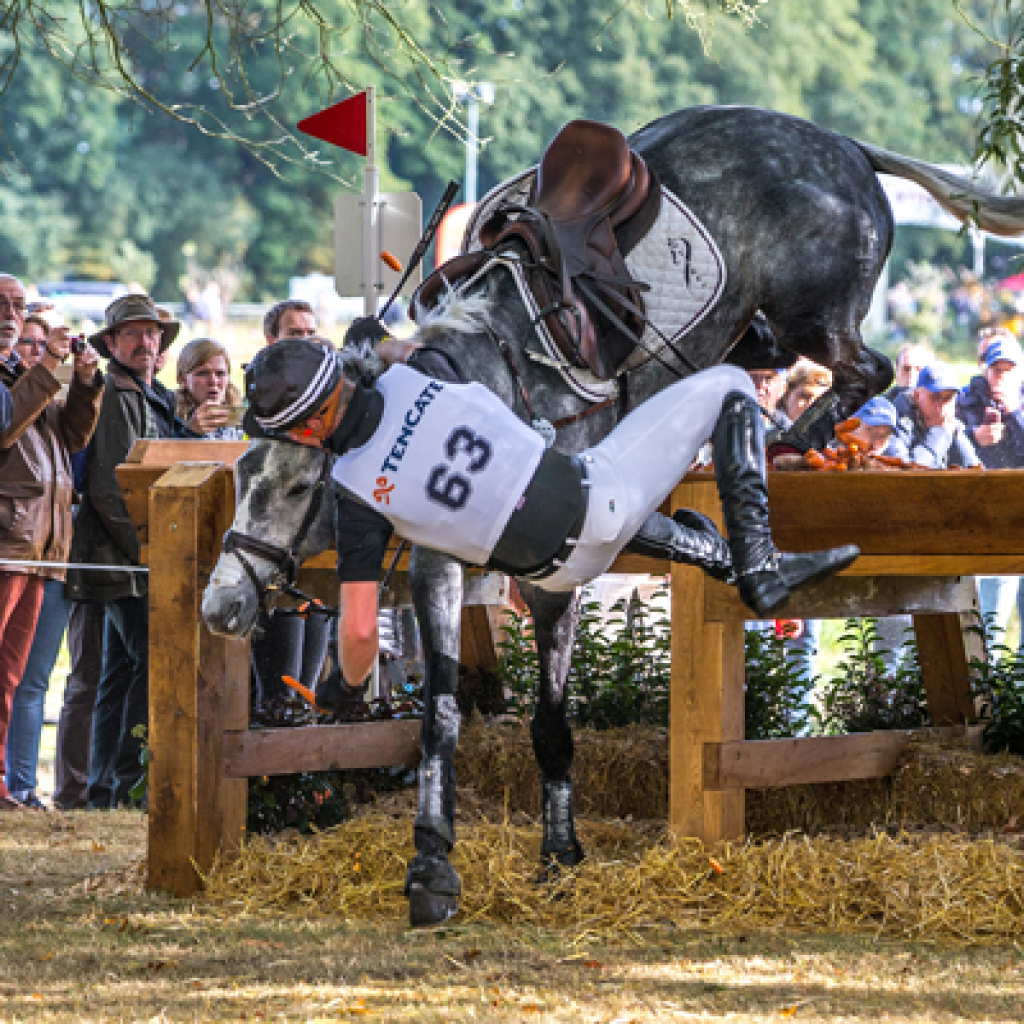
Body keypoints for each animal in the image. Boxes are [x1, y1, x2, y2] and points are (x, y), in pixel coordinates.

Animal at [201, 105, 1024, 929]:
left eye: (301, 489)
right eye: (241, 473)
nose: (221, 604)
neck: (479, 380)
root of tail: (846, 146)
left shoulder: (555, 565)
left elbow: (551, 725)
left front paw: (559, 855)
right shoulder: (440, 565)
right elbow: (438, 716)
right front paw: (433, 865)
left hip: (808, 316)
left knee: (865, 367)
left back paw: (795, 441)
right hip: (759, 332)